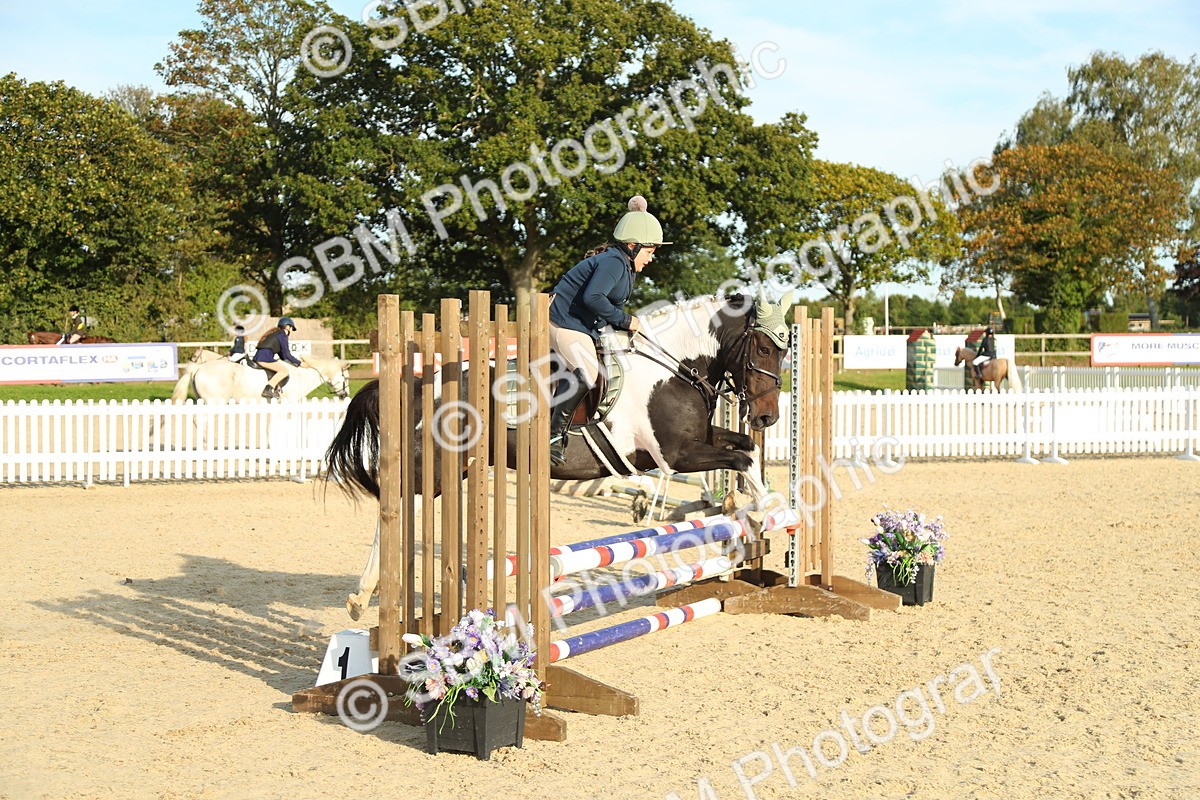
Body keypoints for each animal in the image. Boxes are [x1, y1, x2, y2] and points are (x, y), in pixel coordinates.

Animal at [326, 292, 794, 619]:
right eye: (763, 349)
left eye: (786, 350)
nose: (768, 417)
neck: (674, 369)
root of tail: (423, 381)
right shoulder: (675, 456)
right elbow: (742, 459)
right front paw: (768, 511)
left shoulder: (696, 443)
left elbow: (746, 448)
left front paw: (755, 510)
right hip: (439, 467)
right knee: (396, 512)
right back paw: (363, 596)